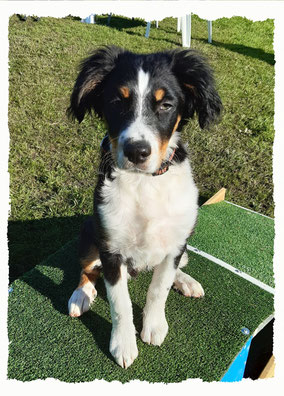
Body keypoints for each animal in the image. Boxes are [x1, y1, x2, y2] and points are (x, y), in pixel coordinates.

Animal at [67, 45, 222, 368]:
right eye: (117, 102)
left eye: (166, 105)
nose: (137, 152)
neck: (145, 183)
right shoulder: (111, 249)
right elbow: (120, 302)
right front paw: (123, 345)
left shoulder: (176, 243)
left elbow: (159, 288)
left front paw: (154, 326)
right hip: (89, 231)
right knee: (87, 269)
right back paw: (81, 295)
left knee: (174, 268)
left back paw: (186, 281)